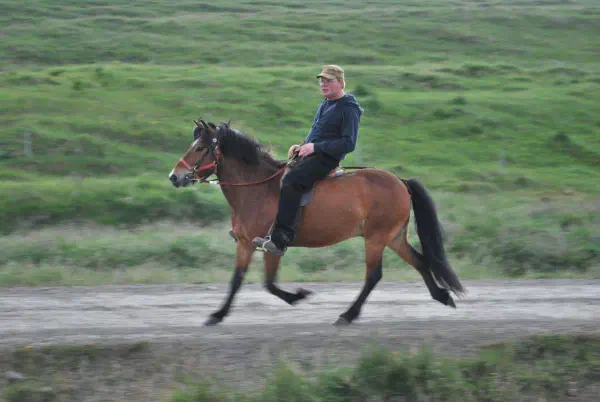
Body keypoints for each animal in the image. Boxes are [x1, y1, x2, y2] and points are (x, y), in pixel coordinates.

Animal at [168, 119, 465, 326]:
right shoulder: (245, 244)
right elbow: (239, 281)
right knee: (421, 261)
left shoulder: (271, 245)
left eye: (200, 148)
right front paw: (217, 315)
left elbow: (269, 283)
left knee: (374, 276)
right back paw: (442, 296)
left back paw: (348, 315)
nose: (175, 176)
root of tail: (400, 182)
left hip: (376, 238)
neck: (257, 189)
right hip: (393, 237)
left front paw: (298, 295)